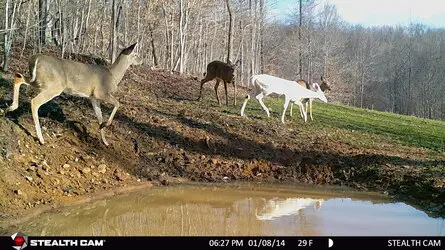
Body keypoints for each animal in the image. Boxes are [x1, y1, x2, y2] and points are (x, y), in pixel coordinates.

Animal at [3, 42, 142, 145]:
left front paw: (105, 140)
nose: (141, 61)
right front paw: (106, 126)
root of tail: (36, 58)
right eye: (136, 54)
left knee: (18, 77)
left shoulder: (93, 98)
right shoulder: (101, 93)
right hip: (54, 86)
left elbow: (99, 117)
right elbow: (118, 104)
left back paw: (9, 108)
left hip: (39, 81)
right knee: (34, 101)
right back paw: (41, 139)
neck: (113, 75)